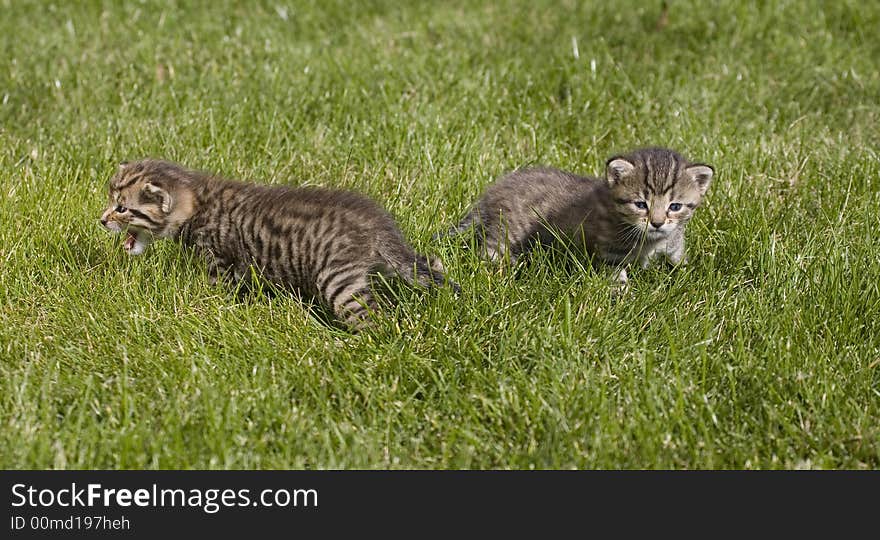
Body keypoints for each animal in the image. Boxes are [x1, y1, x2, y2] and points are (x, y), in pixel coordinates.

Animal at [100, 159, 454, 330]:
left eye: (121, 207)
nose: (101, 220)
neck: (196, 200)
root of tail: (377, 223)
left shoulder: (219, 262)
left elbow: (218, 291)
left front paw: (212, 309)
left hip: (337, 279)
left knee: (371, 315)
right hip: (392, 263)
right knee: (427, 264)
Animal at [440, 148, 716, 282]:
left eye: (675, 206)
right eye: (641, 204)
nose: (657, 223)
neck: (651, 242)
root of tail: (489, 194)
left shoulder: (674, 247)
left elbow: (680, 263)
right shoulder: (610, 255)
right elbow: (617, 279)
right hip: (508, 228)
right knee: (489, 251)